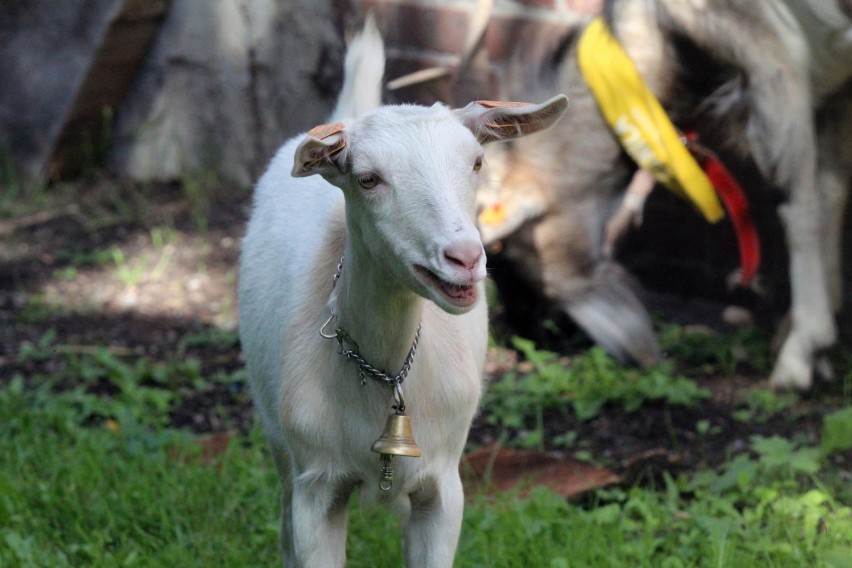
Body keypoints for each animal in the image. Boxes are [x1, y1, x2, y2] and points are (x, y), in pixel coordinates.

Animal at [240, 20, 568, 564]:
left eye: (477, 163)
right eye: (368, 179)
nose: (464, 258)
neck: (386, 371)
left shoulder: (443, 486)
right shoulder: (315, 486)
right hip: (279, 445)